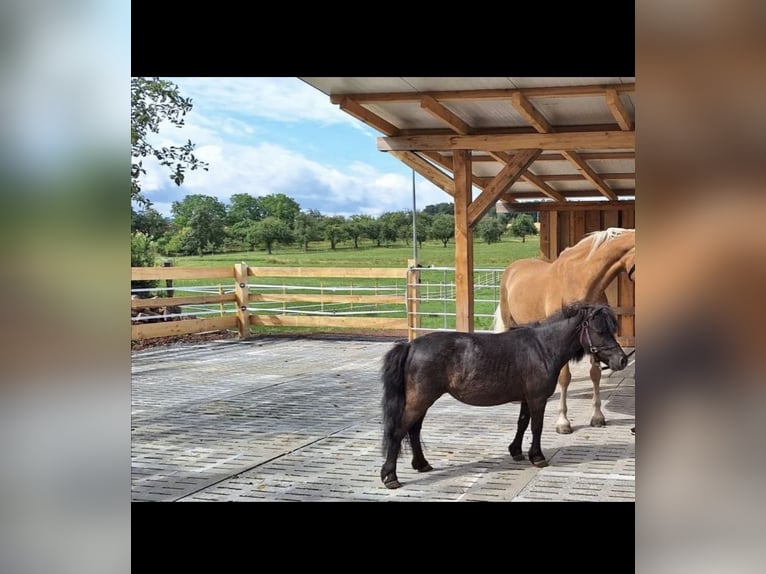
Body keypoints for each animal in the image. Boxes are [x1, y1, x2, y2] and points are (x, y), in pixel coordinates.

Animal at [380, 302, 628, 489]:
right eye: (599, 331)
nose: (622, 360)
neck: (542, 348)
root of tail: (411, 346)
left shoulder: (527, 398)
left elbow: (522, 423)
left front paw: (516, 451)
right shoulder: (537, 399)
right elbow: (536, 427)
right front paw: (537, 457)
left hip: (422, 401)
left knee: (413, 430)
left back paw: (421, 464)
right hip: (420, 400)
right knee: (399, 431)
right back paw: (390, 476)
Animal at [493, 227, 635, 434]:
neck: (581, 280)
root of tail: (512, 268)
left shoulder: (592, 338)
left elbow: (595, 375)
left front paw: (597, 417)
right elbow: (565, 378)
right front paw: (563, 422)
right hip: (508, 319)